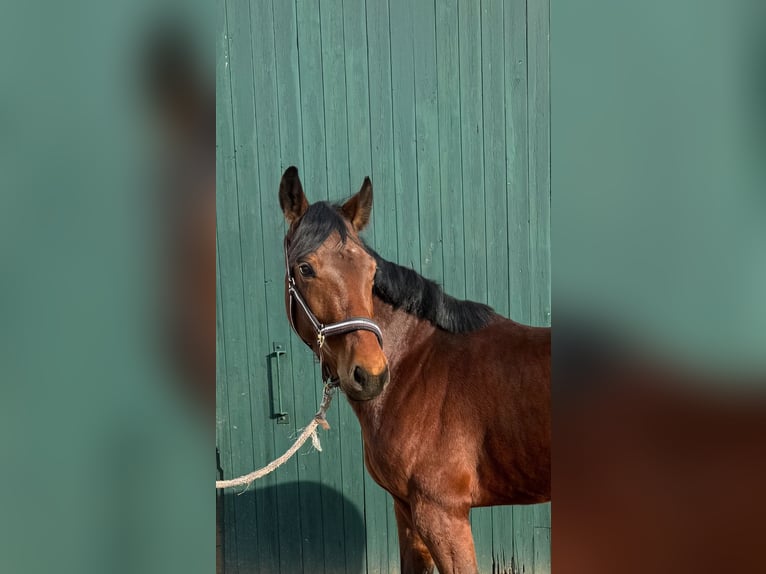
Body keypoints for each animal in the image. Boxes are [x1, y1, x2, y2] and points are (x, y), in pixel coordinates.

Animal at [280, 168, 552, 574]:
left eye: (370, 272)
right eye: (305, 268)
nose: (371, 375)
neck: (416, 363)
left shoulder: (442, 514)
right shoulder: (406, 509)